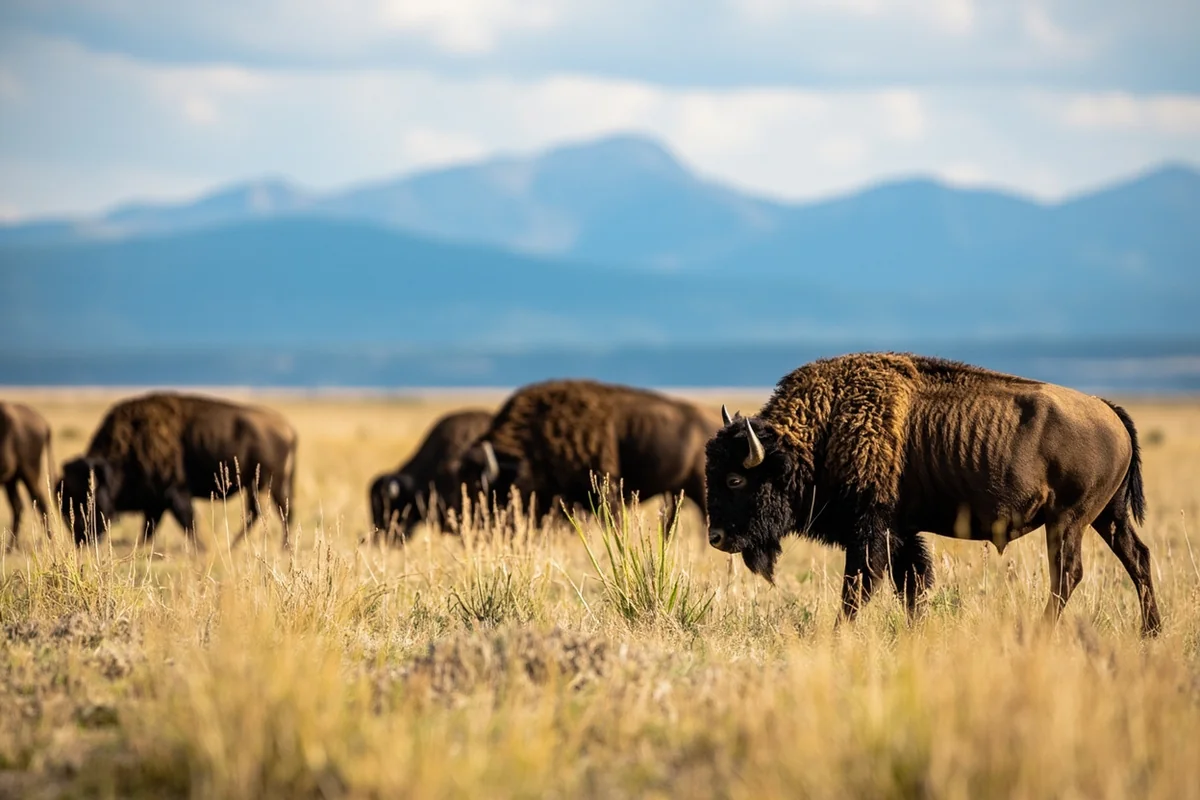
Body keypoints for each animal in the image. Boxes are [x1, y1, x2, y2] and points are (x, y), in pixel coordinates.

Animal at [0, 401, 55, 550]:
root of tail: (44, 423)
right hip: (12, 479)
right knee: (18, 506)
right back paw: (11, 547)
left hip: (29, 472)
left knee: (40, 503)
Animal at [60, 393, 297, 548]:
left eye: (88, 497)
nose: (81, 538)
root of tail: (287, 427)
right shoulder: (156, 501)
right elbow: (151, 525)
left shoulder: (174, 493)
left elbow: (186, 521)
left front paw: (200, 548)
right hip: (258, 485)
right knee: (264, 511)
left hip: (266, 483)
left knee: (275, 511)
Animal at [705, 352, 1162, 636]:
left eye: (735, 479)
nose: (716, 537)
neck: (823, 430)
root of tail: (1109, 411)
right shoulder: (901, 533)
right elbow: (912, 586)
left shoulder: (870, 531)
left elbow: (859, 587)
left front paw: (838, 634)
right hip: (1107, 517)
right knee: (1136, 558)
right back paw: (1151, 633)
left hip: (1068, 521)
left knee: (1067, 573)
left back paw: (1043, 631)